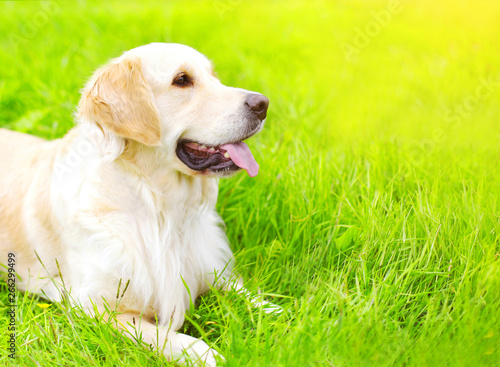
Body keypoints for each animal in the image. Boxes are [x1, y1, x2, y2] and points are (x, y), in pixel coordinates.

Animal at [0, 42, 278, 366]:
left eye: (214, 75)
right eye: (182, 80)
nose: (263, 104)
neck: (161, 209)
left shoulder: (207, 264)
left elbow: (248, 294)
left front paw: (286, 315)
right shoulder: (96, 305)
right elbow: (166, 337)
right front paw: (208, 354)